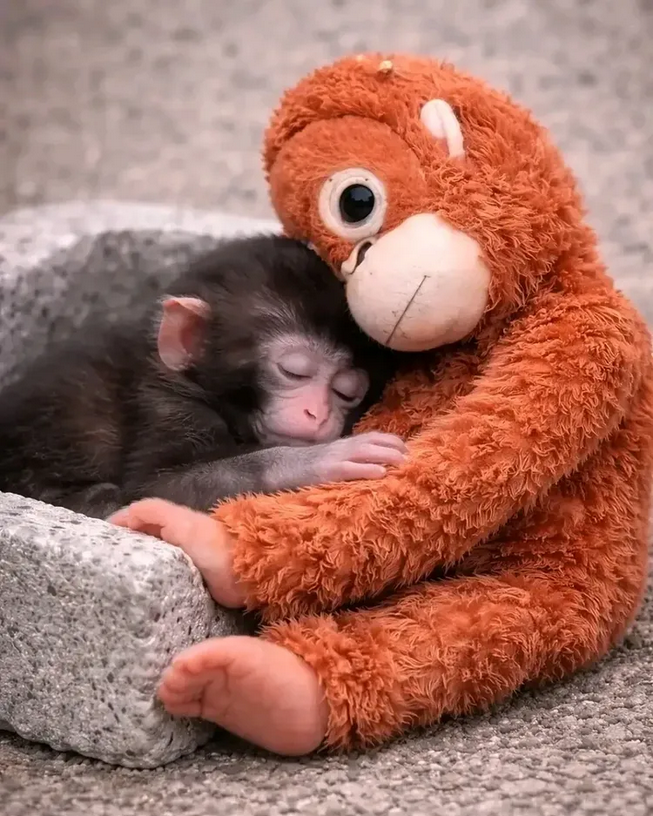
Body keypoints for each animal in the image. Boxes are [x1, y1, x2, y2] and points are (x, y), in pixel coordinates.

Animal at [0, 235, 405, 519]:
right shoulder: (165, 405)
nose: (317, 414)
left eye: (347, 392)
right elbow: (155, 489)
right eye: (294, 371)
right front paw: (319, 460)